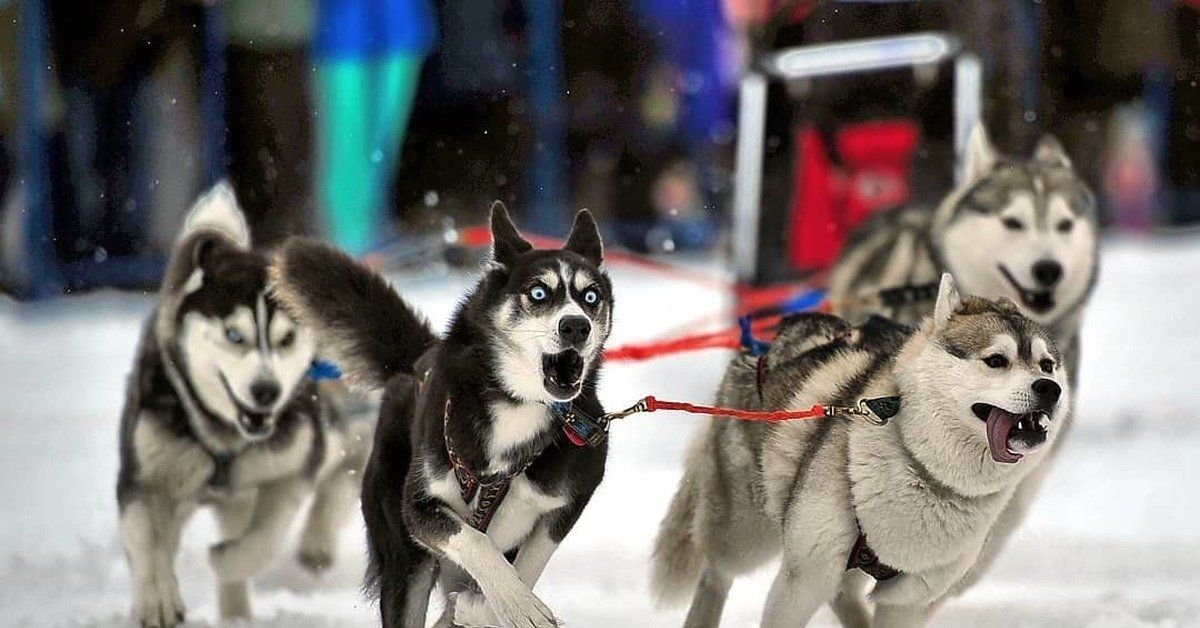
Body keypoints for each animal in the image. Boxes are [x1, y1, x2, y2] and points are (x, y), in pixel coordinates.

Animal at [117, 182, 372, 628]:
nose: (265, 391)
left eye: (286, 338)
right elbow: (147, 539)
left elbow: (263, 539)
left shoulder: (292, 472)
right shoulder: (142, 478)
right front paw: (156, 597)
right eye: (234, 336)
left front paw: (226, 560)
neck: (224, 439)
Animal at [268, 204, 614, 624]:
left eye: (591, 296)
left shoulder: (568, 502)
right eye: (538, 292)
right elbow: (476, 541)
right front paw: (508, 602)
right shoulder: (420, 509)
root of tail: (415, 363)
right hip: (405, 559)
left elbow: (527, 564)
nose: (576, 325)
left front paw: (486, 605)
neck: (517, 406)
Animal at [657, 276, 1070, 628]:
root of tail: (764, 342)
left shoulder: (906, 601)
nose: (1049, 388)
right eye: (996, 360)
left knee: (842, 594)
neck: (925, 473)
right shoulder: (802, 581)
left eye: (1047, 364)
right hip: (744, 531)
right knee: (717, 574)